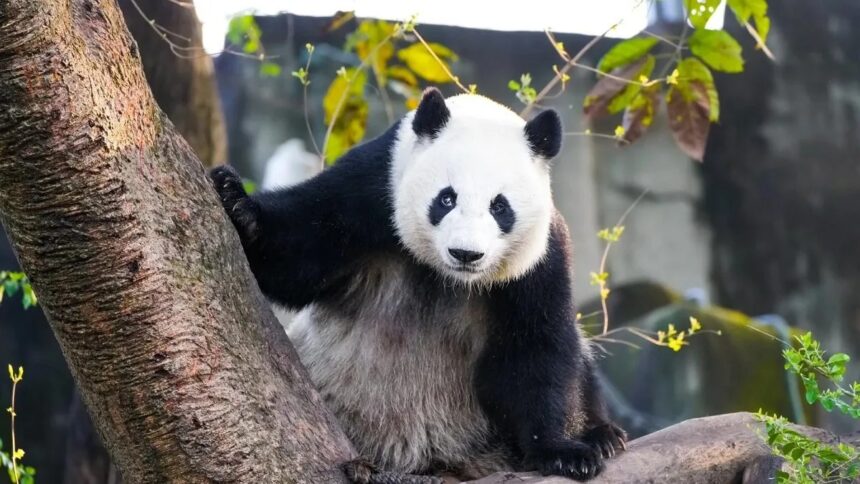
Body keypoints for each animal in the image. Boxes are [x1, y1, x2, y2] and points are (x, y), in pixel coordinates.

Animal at [210, 88, 626, 482]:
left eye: (500, 206)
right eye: (446, 198)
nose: (466, 253)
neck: (446, 277)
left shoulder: (540, 259)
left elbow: (533, 347)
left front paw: (561, 450)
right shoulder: (372, 188)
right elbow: (297, 251)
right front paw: (236, 201)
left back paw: (603, 436)